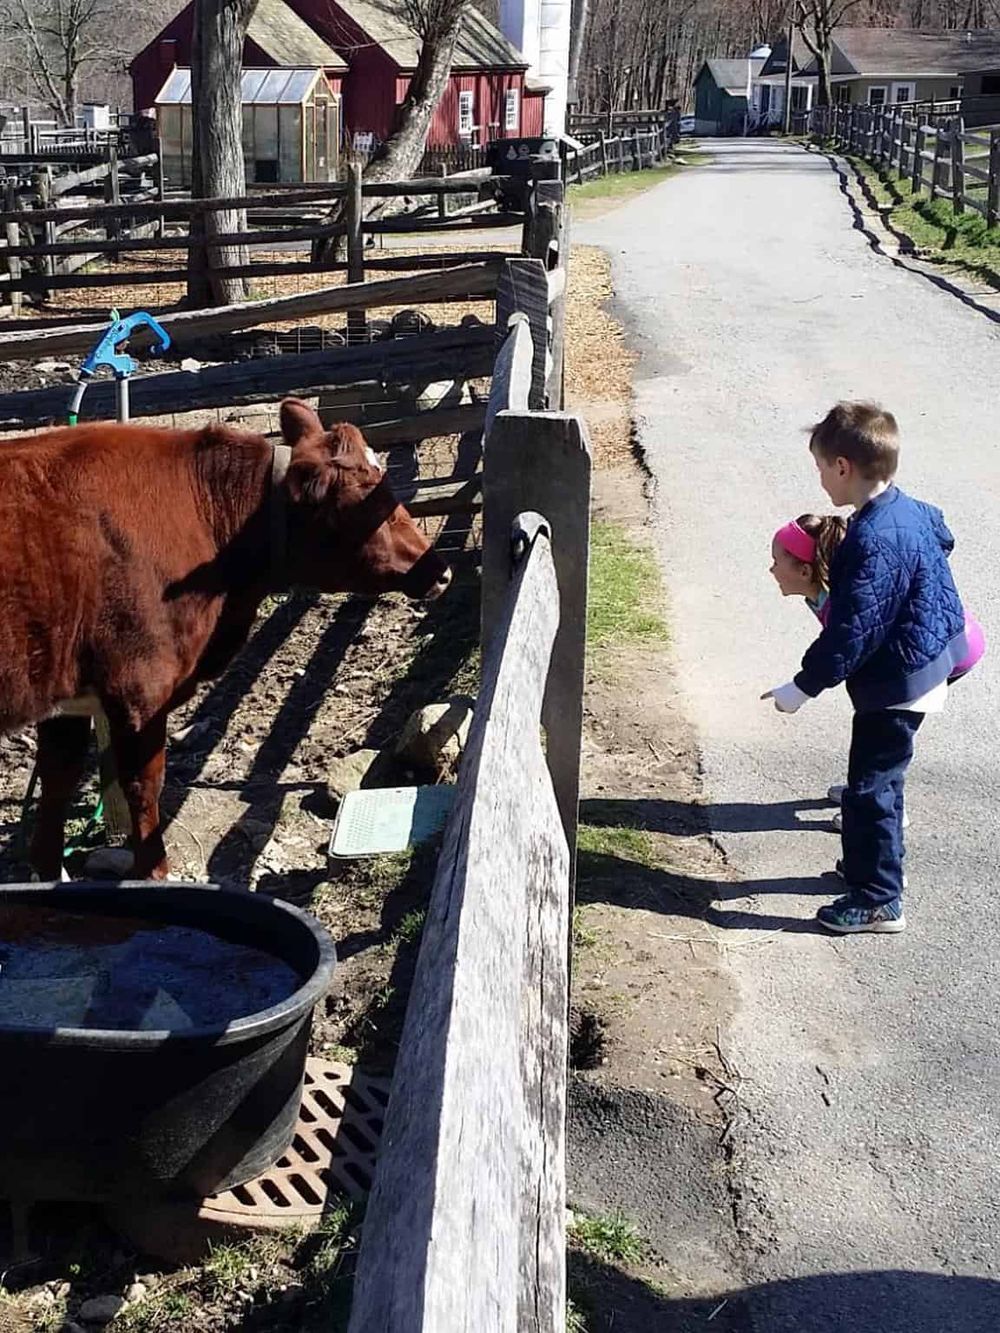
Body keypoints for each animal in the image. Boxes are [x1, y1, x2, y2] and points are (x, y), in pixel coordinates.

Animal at [0, 397, 450, 881]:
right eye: (366, 499)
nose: (439, 569)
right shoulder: (139, 688)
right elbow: (144, 784)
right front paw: (154, 871)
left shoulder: (64, 699)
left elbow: (56, 783)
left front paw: (49, 874)